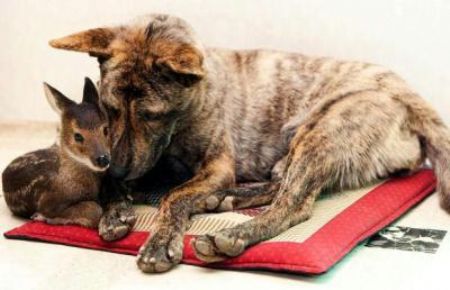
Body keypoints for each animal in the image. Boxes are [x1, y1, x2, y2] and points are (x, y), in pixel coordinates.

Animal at [2, 78, 110, 228]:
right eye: (78, 136)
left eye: (105, 129)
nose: (103, 158)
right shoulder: (48, 203)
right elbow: (94, 209)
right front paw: (42, 217)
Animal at [49, 13, 450, 272]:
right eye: (110, 108)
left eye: (151, 115)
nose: (115, 168)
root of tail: (406, 94)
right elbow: (118, 185)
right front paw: (116, 208)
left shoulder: (217, 165)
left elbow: (174, 196)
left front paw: (161, 239)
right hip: (296, 146)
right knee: (279, 183)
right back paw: (224, 200)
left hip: (322, 132)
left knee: (293, 203)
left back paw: (233, 233)